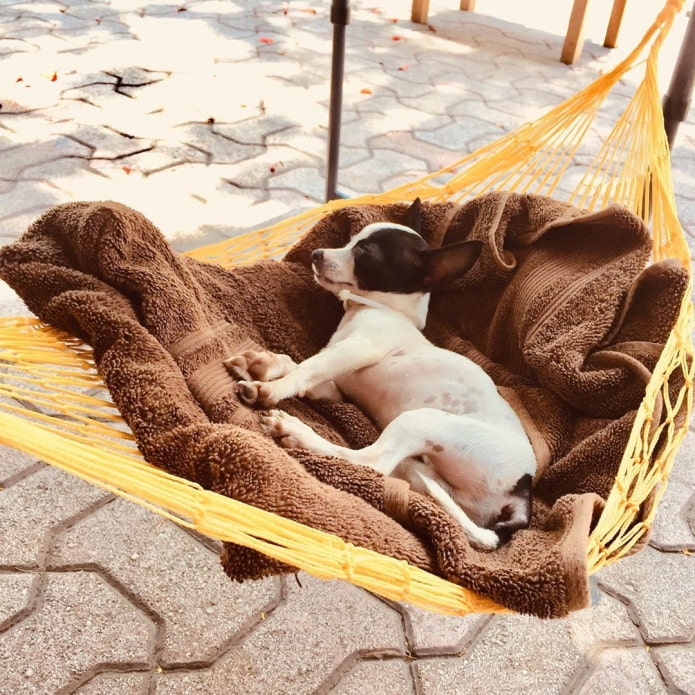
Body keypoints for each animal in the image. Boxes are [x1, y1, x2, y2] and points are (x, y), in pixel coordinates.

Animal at [228, 198, 540, 552]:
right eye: (350, 240)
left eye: (364, 253)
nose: (316, 254)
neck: (379, 311)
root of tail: (524, 488)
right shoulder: (336, 385)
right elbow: (297, 364)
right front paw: (263, 364)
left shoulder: (359, 349)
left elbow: (307, 368)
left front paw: (272, 388)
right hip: (426, 472)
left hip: (421, 421)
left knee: (369, 462)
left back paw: (297, 431)